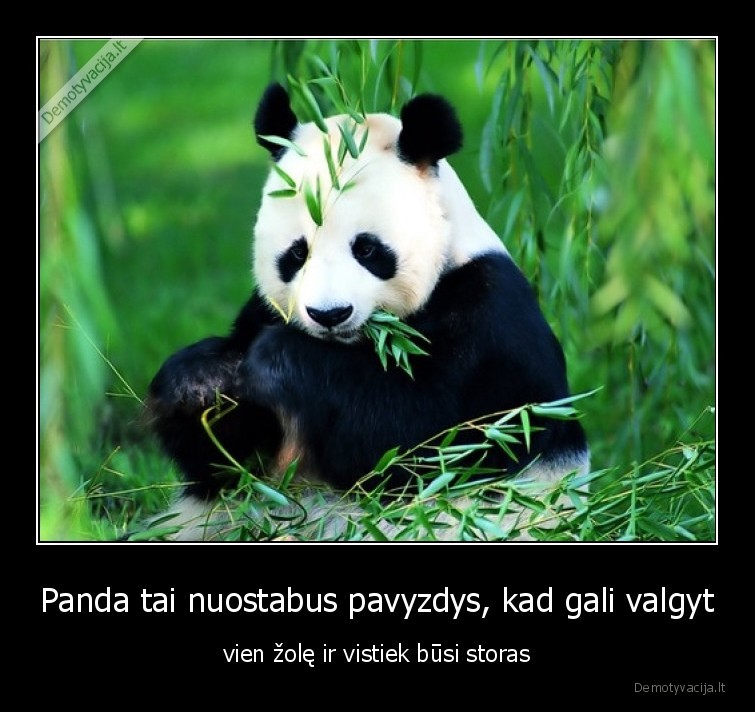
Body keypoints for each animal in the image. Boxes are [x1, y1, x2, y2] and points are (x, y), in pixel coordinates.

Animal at [145, 82, 589, 541]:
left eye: (368, 249)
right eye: (297, 253)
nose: (330, 314)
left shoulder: (490, 320)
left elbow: (420, 438)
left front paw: (279, 358)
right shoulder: (262, 311)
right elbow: (229, 464)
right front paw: (202, 379)